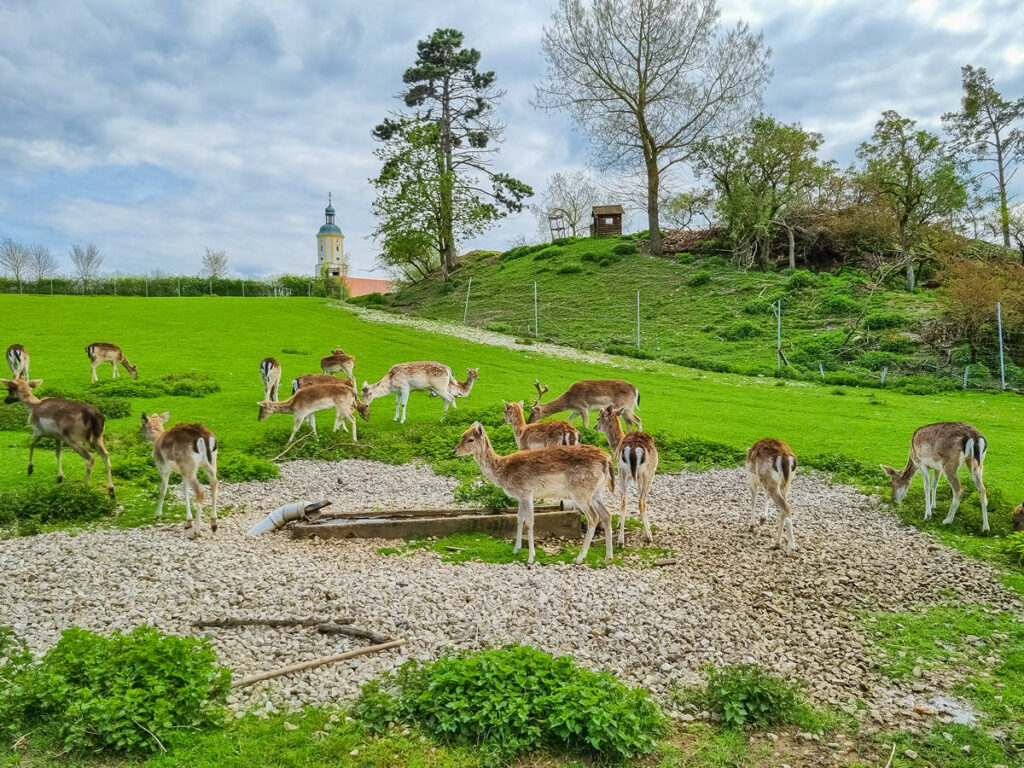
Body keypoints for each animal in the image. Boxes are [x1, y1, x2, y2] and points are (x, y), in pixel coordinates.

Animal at [452, 421, 610, 565]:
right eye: (462, 435)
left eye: (470, 439)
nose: (454, 451)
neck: (503, 470)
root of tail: (607, 459)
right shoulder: (520, 496)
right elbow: (519, 519)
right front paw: (516, 549)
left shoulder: (527, 492)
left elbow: (529, 522)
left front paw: (530, 558)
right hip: (596, 491)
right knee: (606, 514)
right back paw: (608, 558)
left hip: (581, 491)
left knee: (594, 517)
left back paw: (579, 557)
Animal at [598, 403, 659, 548]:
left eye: (598, 418)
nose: (595, 426)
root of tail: (632, 449)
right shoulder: (639, 477)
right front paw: (647, 531)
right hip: (646, 473)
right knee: (640, 501)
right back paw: (648, 537)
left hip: (624, 472)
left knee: (624, 499)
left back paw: (620, 540)